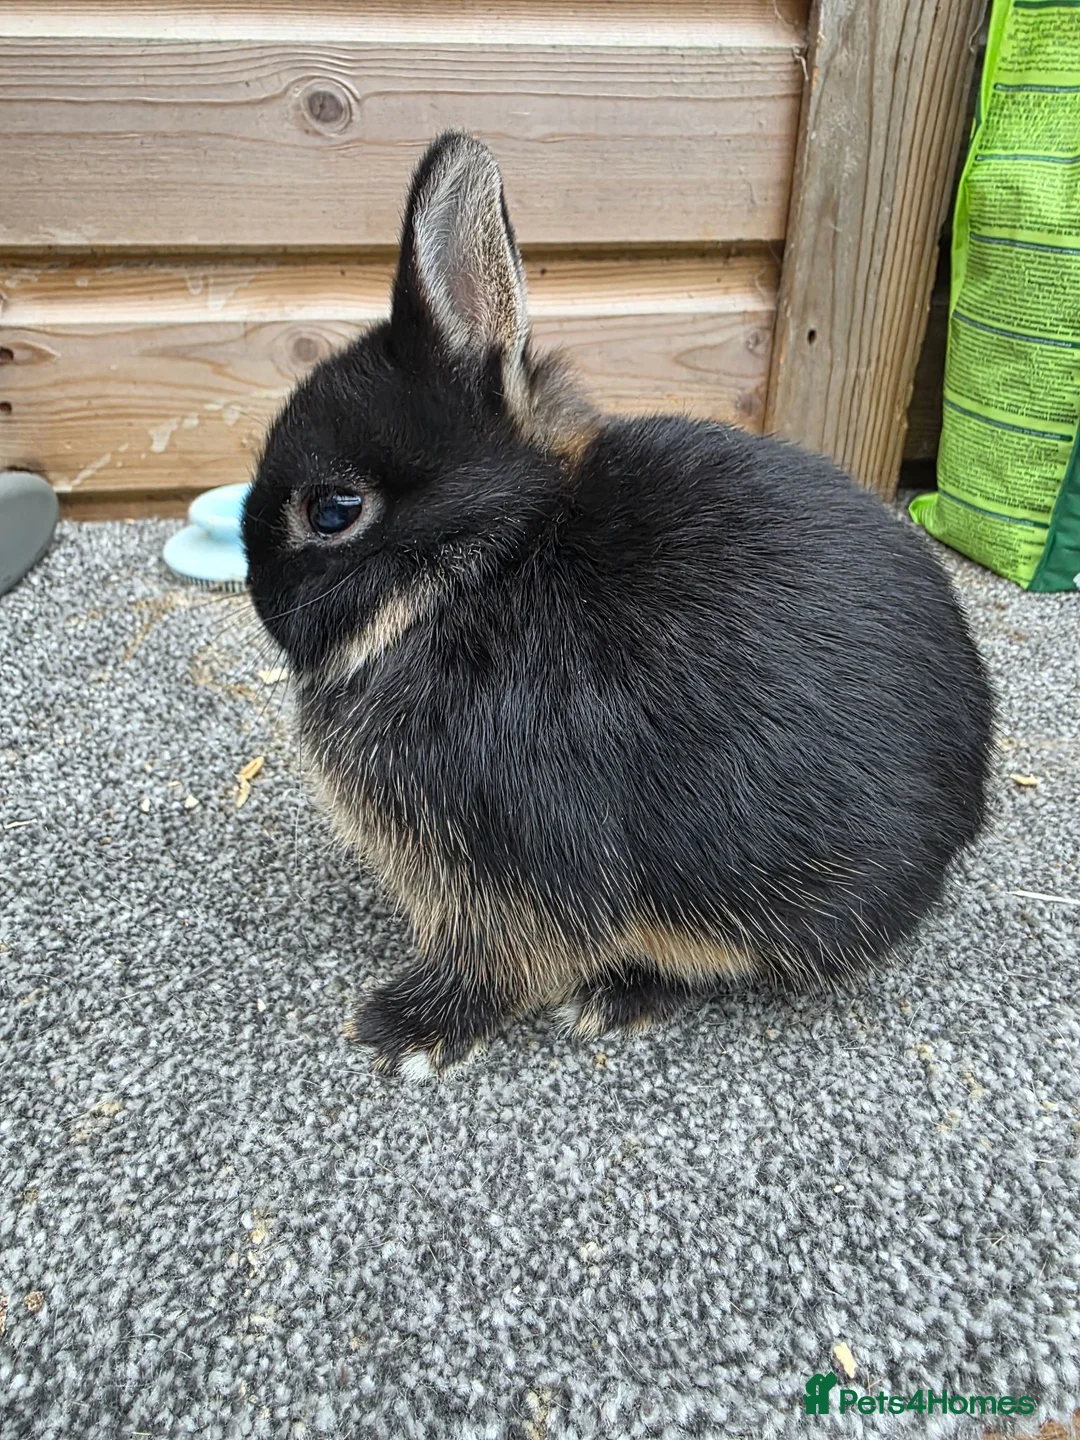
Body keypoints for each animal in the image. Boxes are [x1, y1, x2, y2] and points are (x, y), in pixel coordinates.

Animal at [243, 131, 994, 1078]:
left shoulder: (510, 859)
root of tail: (963, 819)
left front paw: (407, 1031)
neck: (479, 570)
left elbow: (506, 957)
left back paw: (617, 996)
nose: (255, 591)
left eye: (334, 511)